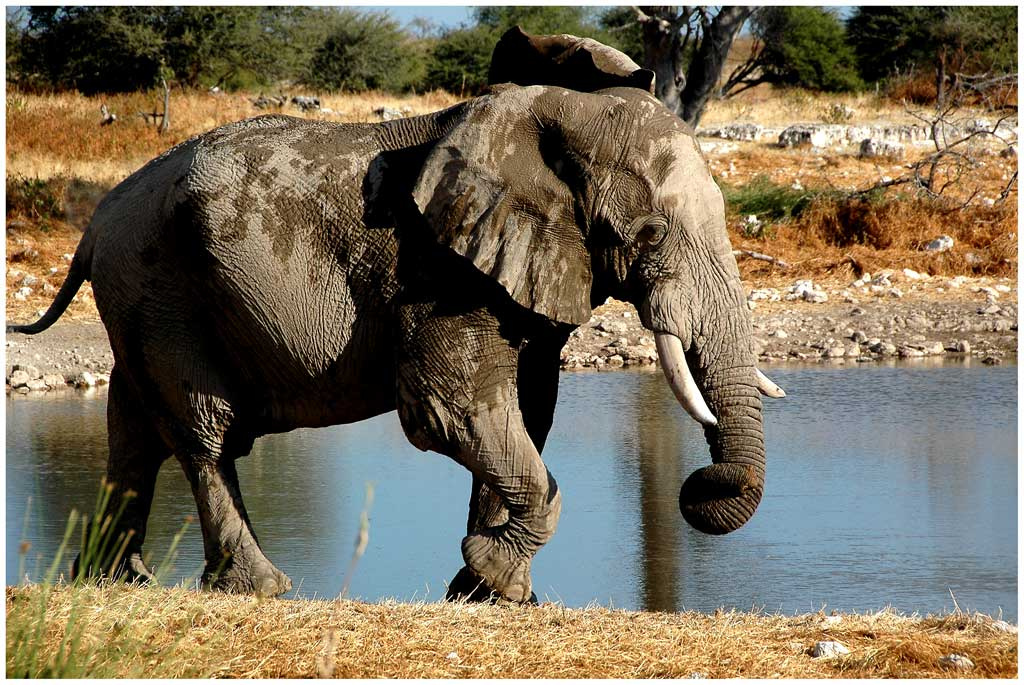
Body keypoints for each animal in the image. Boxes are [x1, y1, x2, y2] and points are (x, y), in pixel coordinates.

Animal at [8, 82, 787, 603]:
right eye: (650, 234)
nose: (699, 482)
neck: (556, 116)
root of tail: (96, 221)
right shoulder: (438, 268)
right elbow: (449, 409)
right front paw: (491, 573)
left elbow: (526, 411)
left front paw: (487, 592)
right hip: (161, 288)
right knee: (204, 433)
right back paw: (258, 587)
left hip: (139, 297)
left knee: (133, 430)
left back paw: (116, 581)